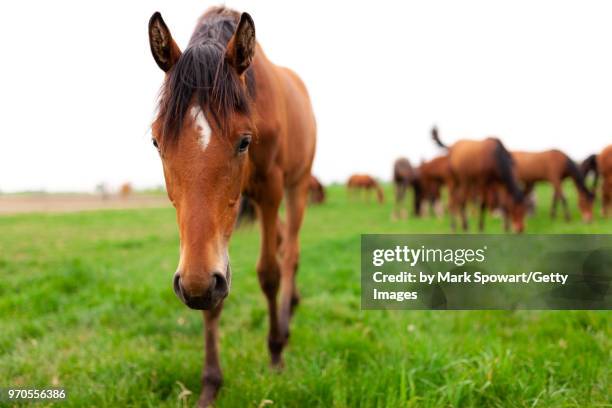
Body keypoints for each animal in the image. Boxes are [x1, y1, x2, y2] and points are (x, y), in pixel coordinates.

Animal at [148, 7, 316, 406]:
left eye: (244, 142)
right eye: (157, 142)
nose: (195, 287)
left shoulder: (270, 190)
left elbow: (269, 274)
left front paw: (275, 355)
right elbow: (213, 293)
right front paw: (211, 383)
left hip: (298, 185)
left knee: (290, 253)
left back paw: (285, 323)